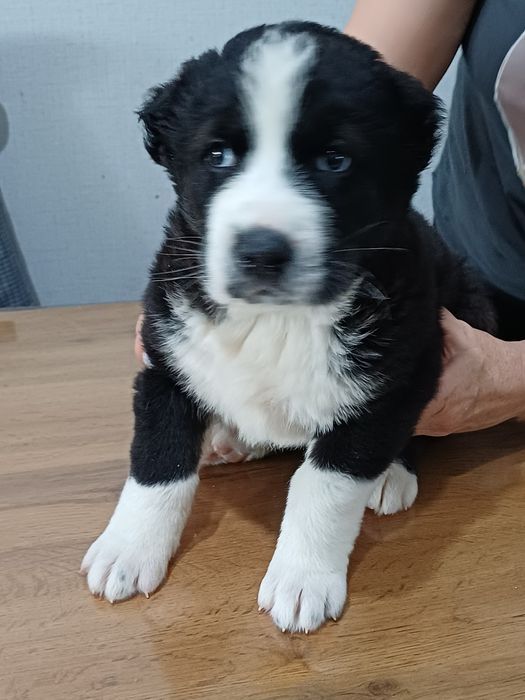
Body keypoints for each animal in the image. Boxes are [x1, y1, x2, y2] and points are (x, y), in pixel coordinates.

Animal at [81, 21, 496, 633]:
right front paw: (128, 549)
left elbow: (324, 483)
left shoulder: (399, 373)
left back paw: (392, 476)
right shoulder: (166, 359)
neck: (276, 319)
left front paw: (303, 579)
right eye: (218, 155)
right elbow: (157, 461)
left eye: (335, 160)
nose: (260, 251)